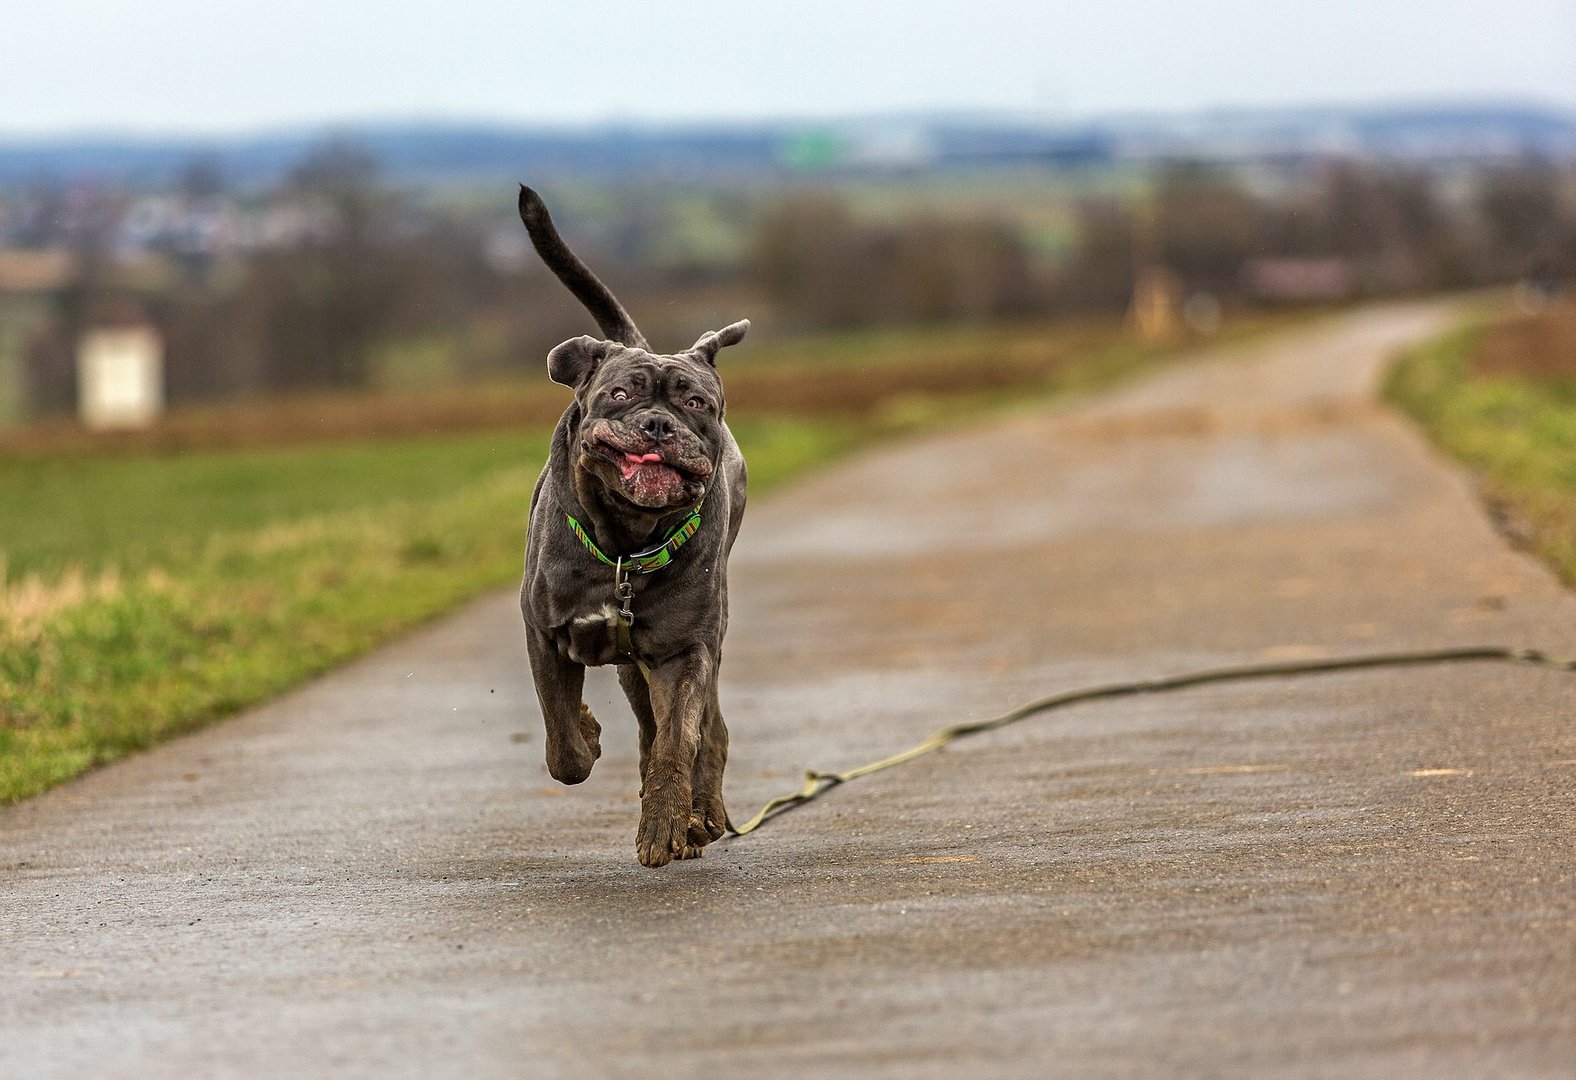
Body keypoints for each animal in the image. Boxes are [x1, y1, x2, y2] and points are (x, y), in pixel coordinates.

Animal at [510, 187, 743, 870]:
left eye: (697, 403)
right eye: (619, 394)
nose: (658, 423)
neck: (624, 542)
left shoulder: (685, 652)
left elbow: (677, 743)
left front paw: (667, 822)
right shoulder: (544, 631)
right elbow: (561, 737)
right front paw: (585, 736)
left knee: (704, 732)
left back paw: (700, 814)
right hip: (630, 665)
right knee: (643, 727)